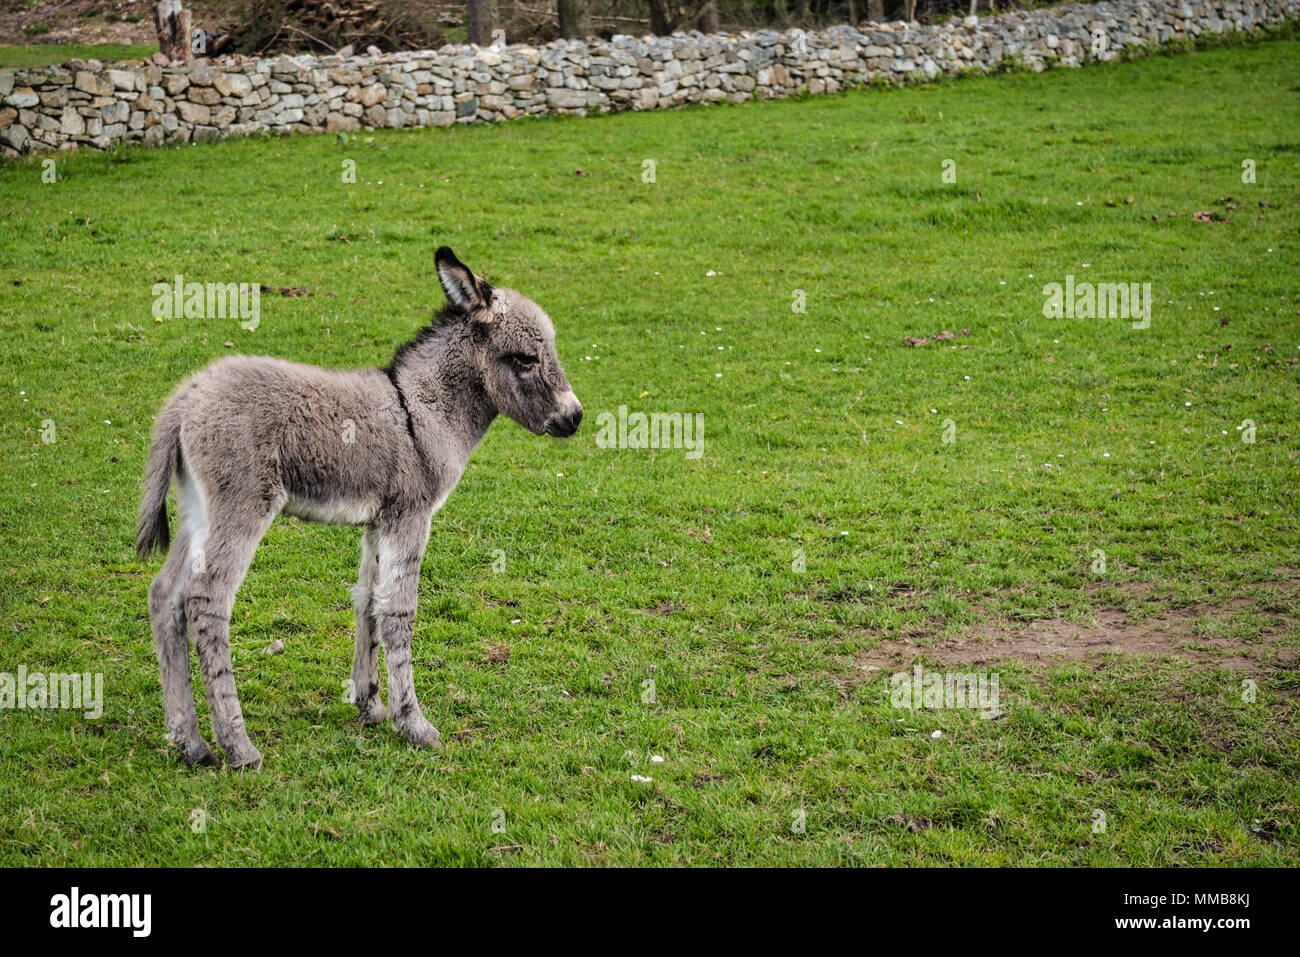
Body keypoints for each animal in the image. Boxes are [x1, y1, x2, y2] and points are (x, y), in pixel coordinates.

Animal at [135, 248, 579, 769]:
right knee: (207, 600)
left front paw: (370, 705)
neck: (421, 411)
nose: (575, 417)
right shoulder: (412, 514)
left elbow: (368, 599)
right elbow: (398, 610)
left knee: (165, 595)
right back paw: (238, 747)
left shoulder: (378, 519)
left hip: (196, 510)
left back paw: (190, 742)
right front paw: (414, 724)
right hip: (241, 506)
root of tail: (184, 400)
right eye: (525, 359)